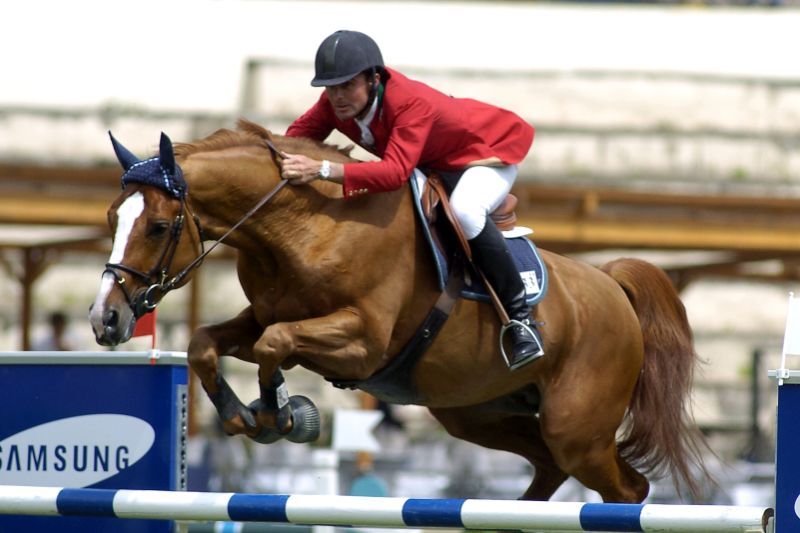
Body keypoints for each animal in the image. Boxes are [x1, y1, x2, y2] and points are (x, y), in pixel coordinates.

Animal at [89, 119, 709, 503]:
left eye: (159, 226)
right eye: (112, 216)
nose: (106, 320)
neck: (307, 225)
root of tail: (611, 286)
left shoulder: (362, 342)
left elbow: (275, 345)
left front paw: (284, 414)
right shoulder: (264, 314)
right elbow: (207, 344)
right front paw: (247, 416)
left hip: (576, 428)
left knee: (627, 491)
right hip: (476, 414)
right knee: (553, 470)